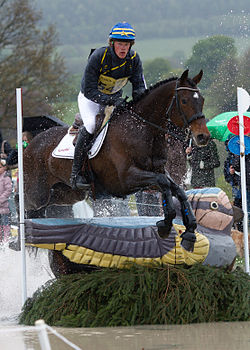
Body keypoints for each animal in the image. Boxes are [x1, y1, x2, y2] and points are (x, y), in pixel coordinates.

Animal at [22, 69, 210, 253]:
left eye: (202, 100)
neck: (142, 130)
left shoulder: (154, 174)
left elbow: (178, 190)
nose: (203, 137)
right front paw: (165, 224)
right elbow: (164, 183)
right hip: (37, 194)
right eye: (184, 101)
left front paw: (189, 232)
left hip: (67, 193)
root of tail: (31, 144)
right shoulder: (126, 179)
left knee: (46, 207)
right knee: (26, 205)